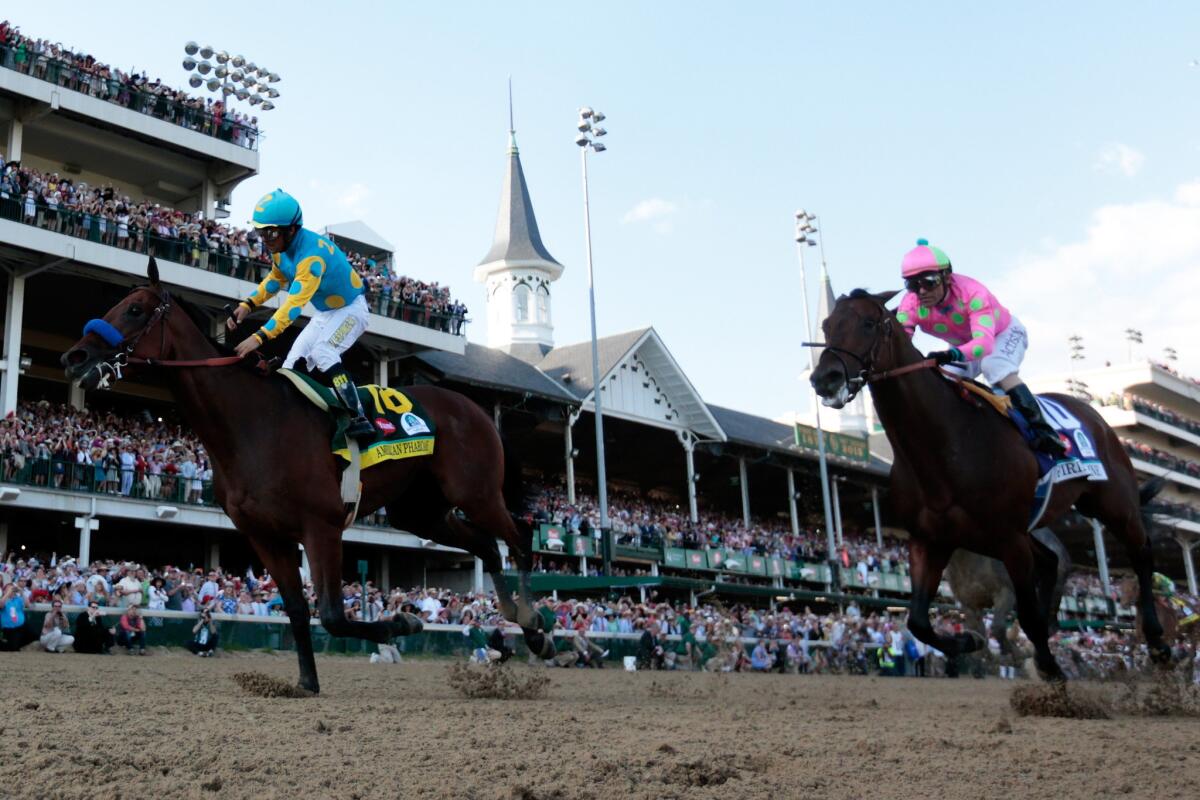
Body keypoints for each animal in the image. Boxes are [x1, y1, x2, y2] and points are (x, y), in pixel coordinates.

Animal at [58, 257, 554, 695]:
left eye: (134, 310)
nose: (74, 355)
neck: (252, 423)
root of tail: (476, 409)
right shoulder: (265, 535)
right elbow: (297, 610)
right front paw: (306, 682)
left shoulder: (322, 526)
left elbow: (331, 614)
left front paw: (401, 619)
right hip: (420, 512)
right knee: (487, 546)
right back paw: (522, 622)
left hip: (476, 492)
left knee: (519, 538)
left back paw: (533, 624)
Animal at [811, 291, 1166, 681]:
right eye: (827, 325)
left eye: (868, 323)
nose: (824, 378)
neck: (946, 443)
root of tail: (1095, 417)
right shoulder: (931, 540)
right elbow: (918, 621)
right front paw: (969, 643)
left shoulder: (1009, 540)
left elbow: (1024, 616)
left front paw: (1050, 669)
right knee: (1051, 563)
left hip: (1112, 504)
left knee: (1142, 554)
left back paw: (1157, 642)